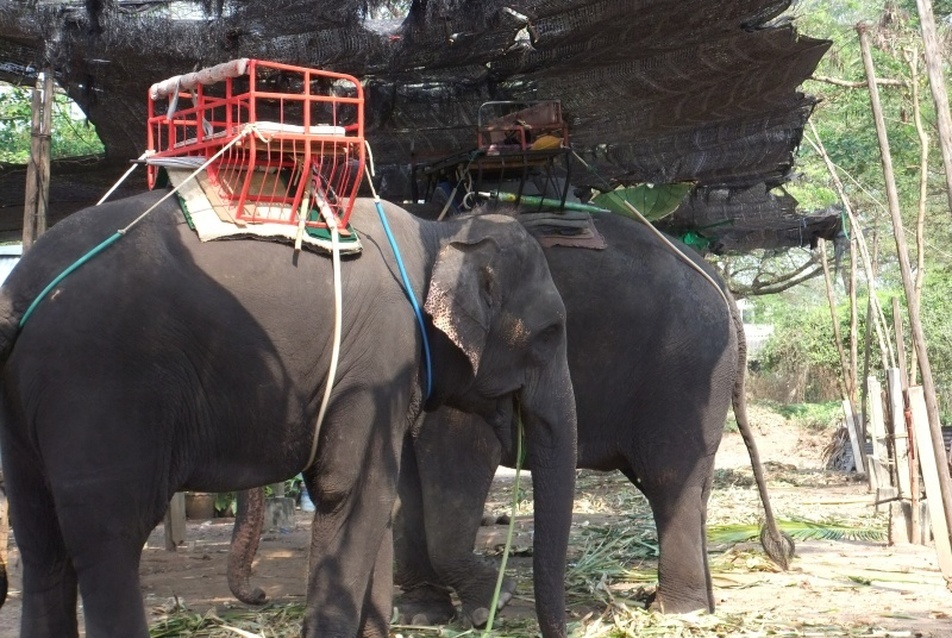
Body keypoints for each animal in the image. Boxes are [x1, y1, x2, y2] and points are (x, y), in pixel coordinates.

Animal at [0, 194, 576, 638]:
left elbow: (375, 499)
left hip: (27, 424)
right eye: (551, 332)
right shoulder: (380, 358)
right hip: (100, 392)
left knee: (42, 549)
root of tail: (17, 292)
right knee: (109, 544)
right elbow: (351, 492)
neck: (440, 230)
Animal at [227, 210, 792, 632]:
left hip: (685, 375)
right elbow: (405, 479)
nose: (258, 596)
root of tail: (721, 284)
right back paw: (690, 604)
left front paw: (487, 607)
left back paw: (678, 613)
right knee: (690, 489)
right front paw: (423, 613)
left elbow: (452, 467)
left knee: (670, 480)